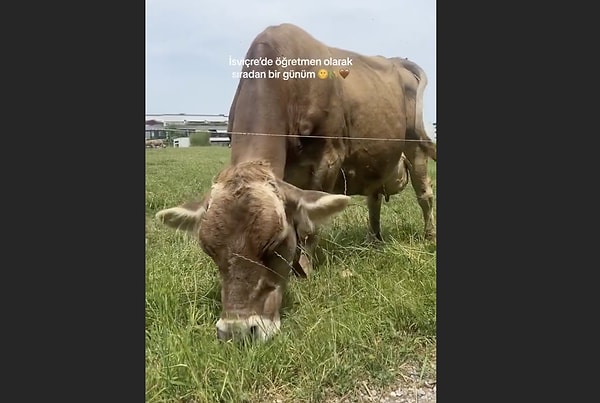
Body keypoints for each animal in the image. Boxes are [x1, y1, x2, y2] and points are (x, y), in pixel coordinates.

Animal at [156, 23, 436, 342]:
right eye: (209, 250)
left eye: (275, 244)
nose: (238, 331)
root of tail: (397, 61)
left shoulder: (328, 159)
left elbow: (309, 228)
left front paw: (303, 269)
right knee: (374, 199)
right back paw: (374, 239)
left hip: (415, 145)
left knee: (424, 195)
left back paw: (429, 236)